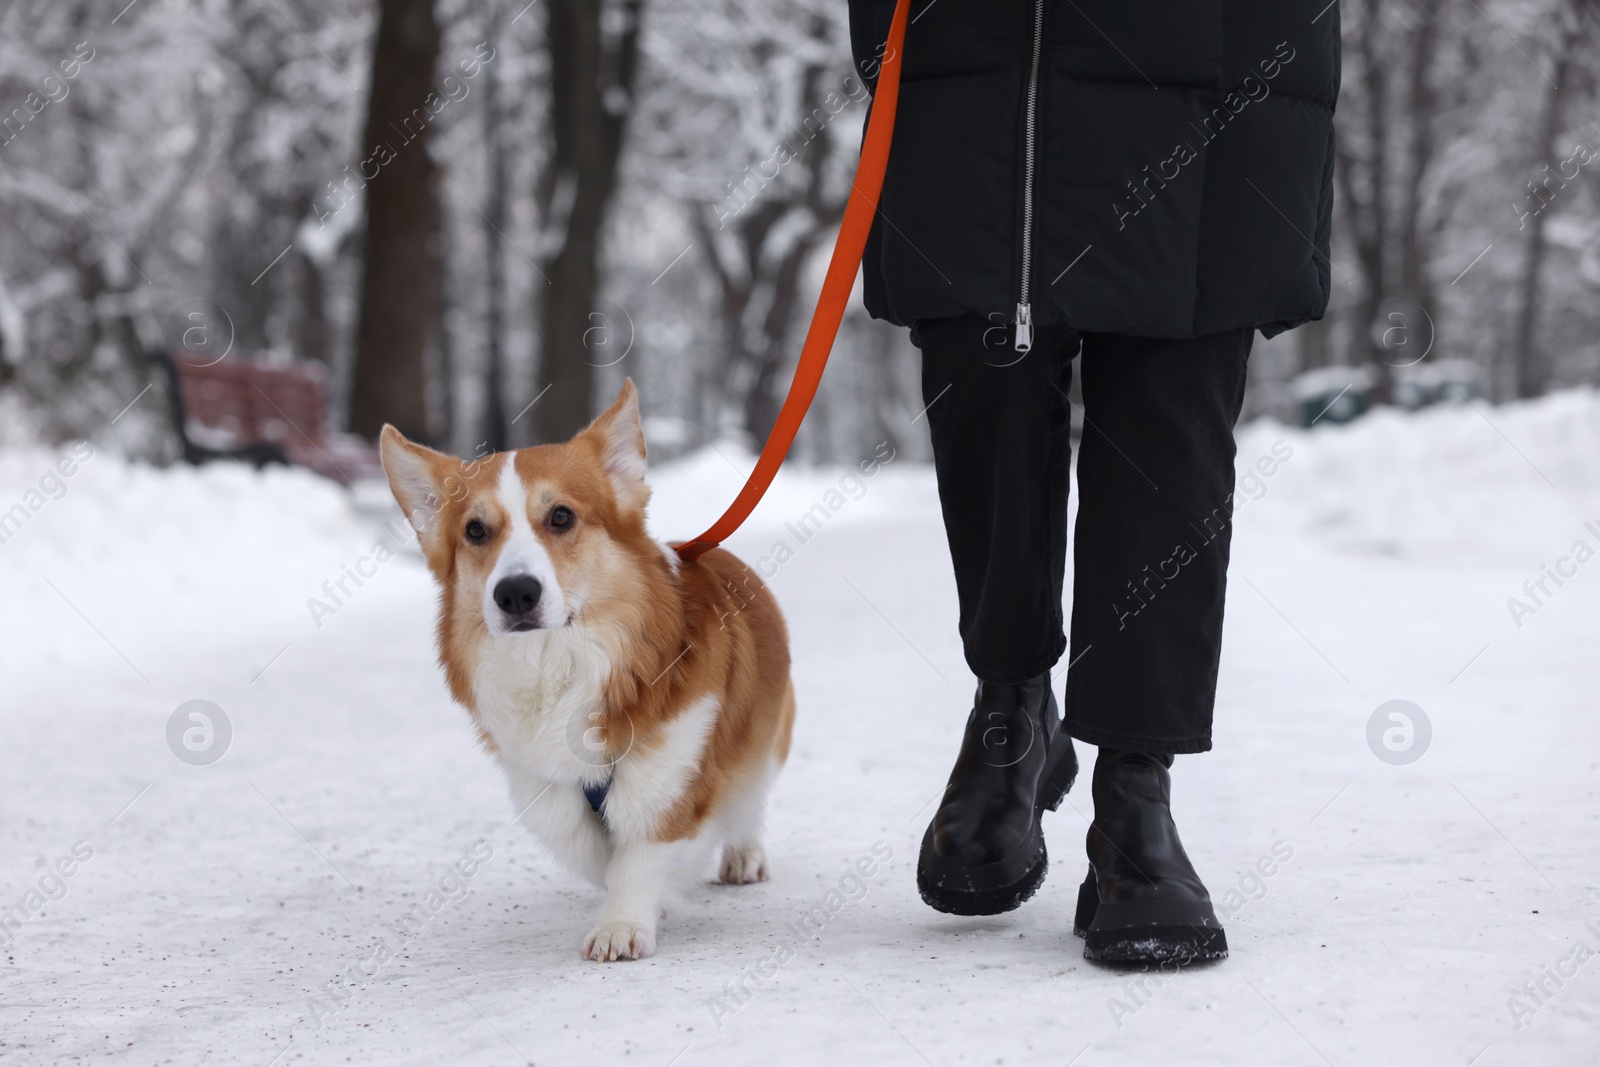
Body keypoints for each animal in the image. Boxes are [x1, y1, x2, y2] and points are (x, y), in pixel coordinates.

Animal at [380, 382, 793, 959]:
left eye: (560, 517)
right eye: (476, 530)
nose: (515, 593)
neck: (559, 658)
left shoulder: (674, 770)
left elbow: (640, 855)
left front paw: (621, 925)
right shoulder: (545, 786)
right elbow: (596, 853)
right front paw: (641, 899)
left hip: (768, 737)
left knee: (751, 797)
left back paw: (743, 855)